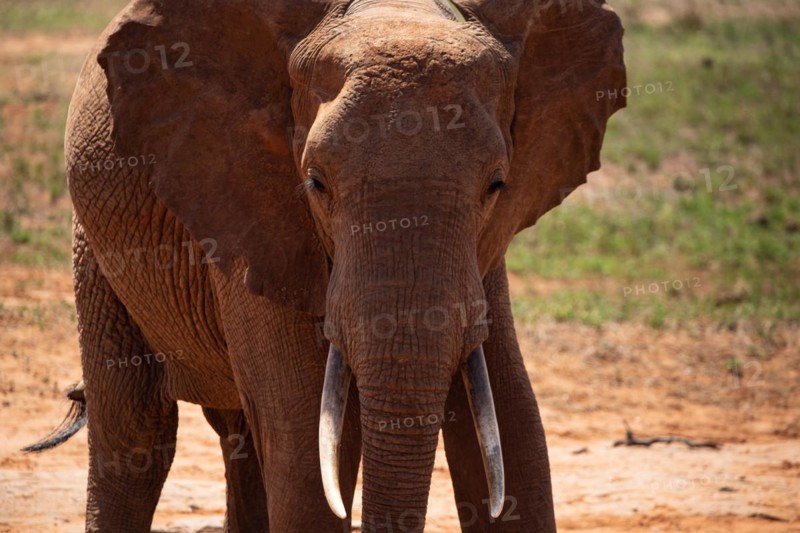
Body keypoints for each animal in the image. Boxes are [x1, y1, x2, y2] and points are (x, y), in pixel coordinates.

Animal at [26, 0, 625, 531]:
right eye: (315, 183)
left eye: (497, 185)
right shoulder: (248, 206)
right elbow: (301, 447)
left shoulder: (483, 251)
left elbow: (516, 427)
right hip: (95, 245)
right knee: (137, 432)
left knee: (238, 435)